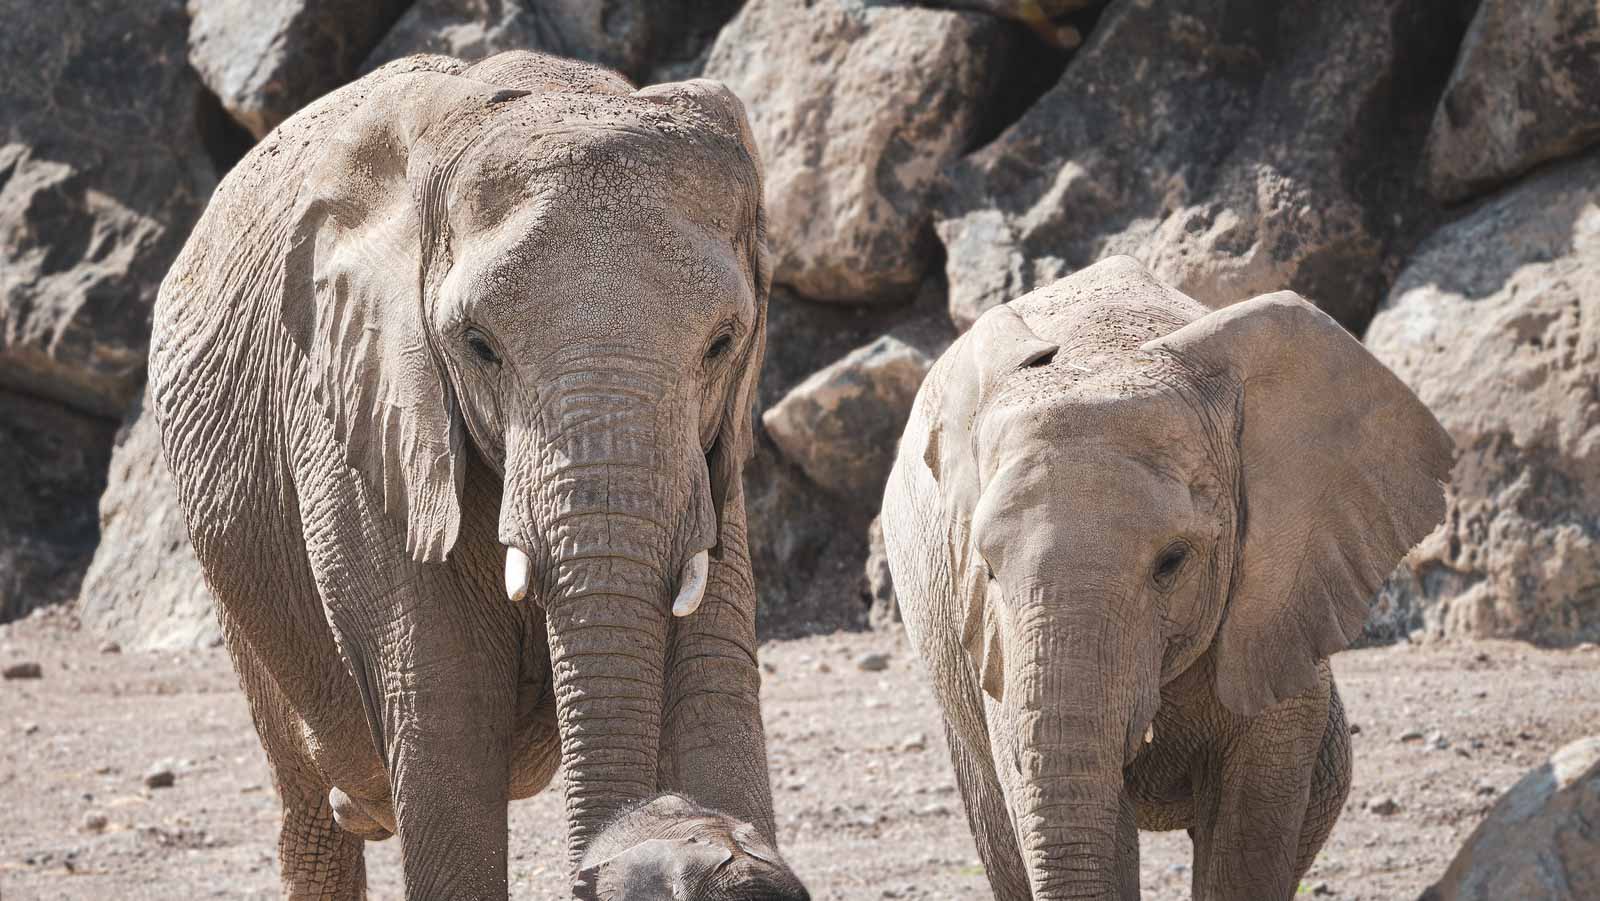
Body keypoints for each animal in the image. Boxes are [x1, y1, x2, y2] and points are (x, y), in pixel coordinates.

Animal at [149, 51, 786, 898]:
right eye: (479, 345)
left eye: (722, 343)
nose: (621, 857)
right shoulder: (365, 424)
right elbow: (447, 718)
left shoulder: (714, 460)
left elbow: (713, 693)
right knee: (308, 802)